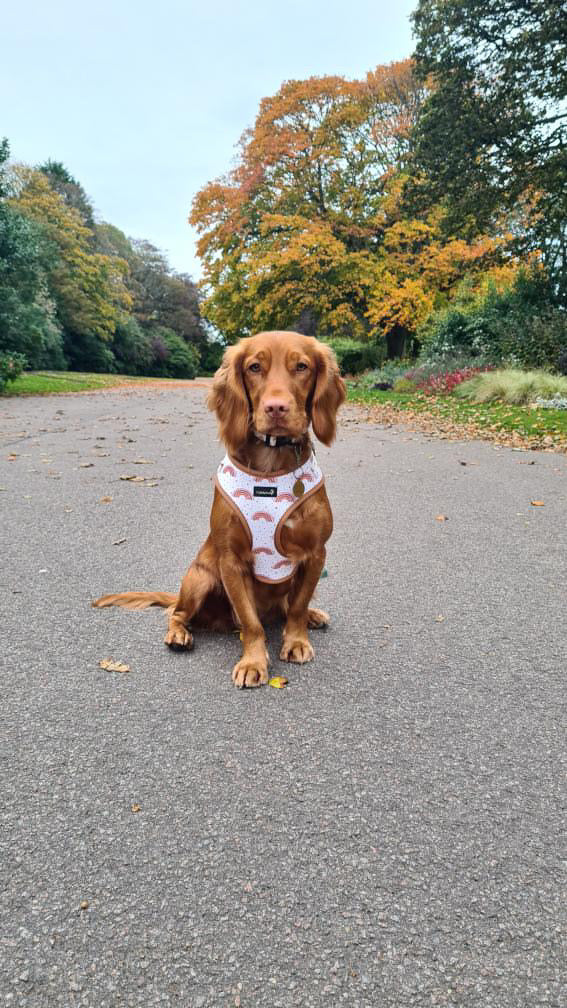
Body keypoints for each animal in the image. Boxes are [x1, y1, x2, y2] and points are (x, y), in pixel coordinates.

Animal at [91, 330, 345, 685]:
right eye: (254, 367)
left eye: (302, 366)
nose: (276, 408)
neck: (270, 469)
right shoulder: (231, 562)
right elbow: (251, 623)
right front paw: (254, 662)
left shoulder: (315, 554)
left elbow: (295, 607)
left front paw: (296, 641)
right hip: (199, 577)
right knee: (178, 613)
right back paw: (178, 634)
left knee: (288, 607)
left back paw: (312, 614)